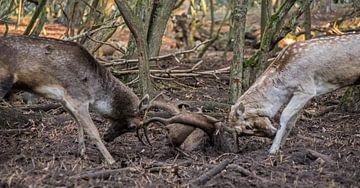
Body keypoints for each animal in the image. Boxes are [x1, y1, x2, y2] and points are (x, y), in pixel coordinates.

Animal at [0, 35, 149, 164]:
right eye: (132, 126)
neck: (96, 94)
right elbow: (93, 131)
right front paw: (111, 160)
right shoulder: (78, 98)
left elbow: (79, 124)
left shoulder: (65, 101)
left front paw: (82, 153)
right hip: (4, 81)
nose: (108, 138)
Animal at [229, 33, 360, 154]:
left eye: (248, 126)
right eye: (243, 133)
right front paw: (281, 145)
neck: (284, 87)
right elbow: (292, 121)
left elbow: (285, 115)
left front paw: (273, 149)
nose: (272, 134)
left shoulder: (307, 89)